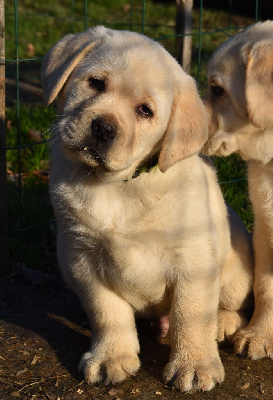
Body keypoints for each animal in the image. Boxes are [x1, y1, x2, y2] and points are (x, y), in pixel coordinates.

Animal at [41, 27, 252, 390]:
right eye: (95, 83)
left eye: (144, 111)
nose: (103, 127)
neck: (117, 186)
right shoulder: (81, 257)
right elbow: (106, 311)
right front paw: (111, 357)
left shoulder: (193, 257)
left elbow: (192, 313)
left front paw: (194, 364)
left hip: (236, 267)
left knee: (228, 305)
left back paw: (221, 324)